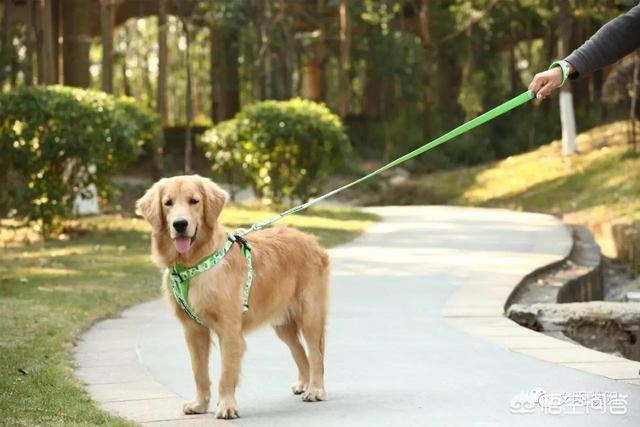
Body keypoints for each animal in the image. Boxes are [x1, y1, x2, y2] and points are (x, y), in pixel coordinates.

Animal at [138, 176, 332, 420]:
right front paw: (199, 404)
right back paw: (303, 384)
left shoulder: (229, 328)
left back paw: (315, 389)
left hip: (310, 315)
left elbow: (226, 373)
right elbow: (199, 372)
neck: (193, 264)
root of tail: (312, 241)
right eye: (168, 203)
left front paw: (227, 406)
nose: (179, 224)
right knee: (299, 352)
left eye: (194, 201)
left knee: (316, 355)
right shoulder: (193, 330)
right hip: (283, 324)